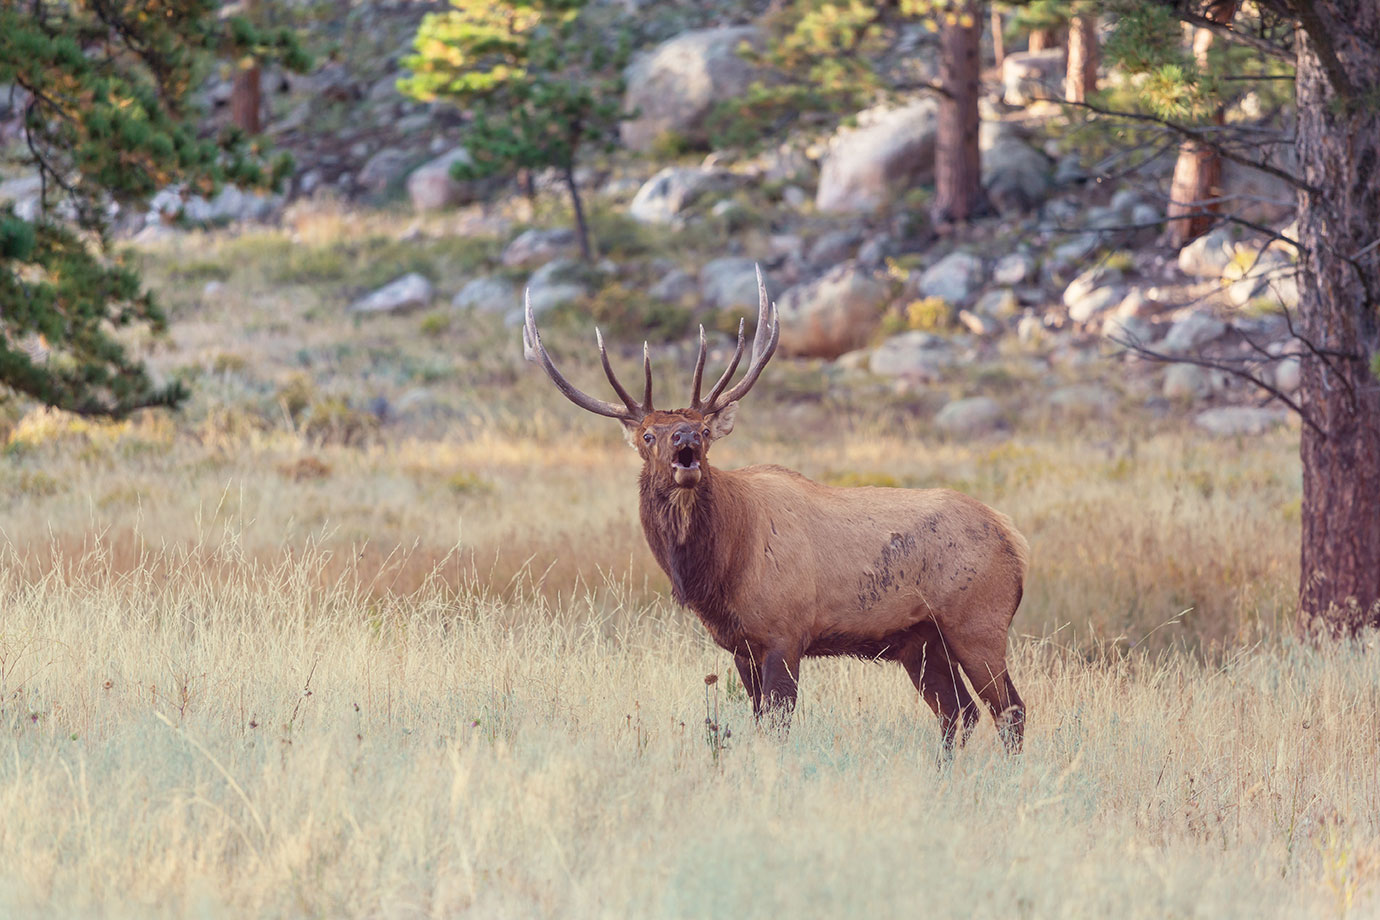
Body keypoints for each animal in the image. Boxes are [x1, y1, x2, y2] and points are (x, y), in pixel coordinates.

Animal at [521, 266, 1032, 755]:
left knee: (1010, 711)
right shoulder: (739, 647)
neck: (723, 568)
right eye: (649, 434)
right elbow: (758, 720)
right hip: (920, 641)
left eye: (703, 431)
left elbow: (777, 724)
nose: (685, 440)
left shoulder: (786, 632)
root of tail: (1014, 538)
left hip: (978, 622)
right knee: (960, 712)